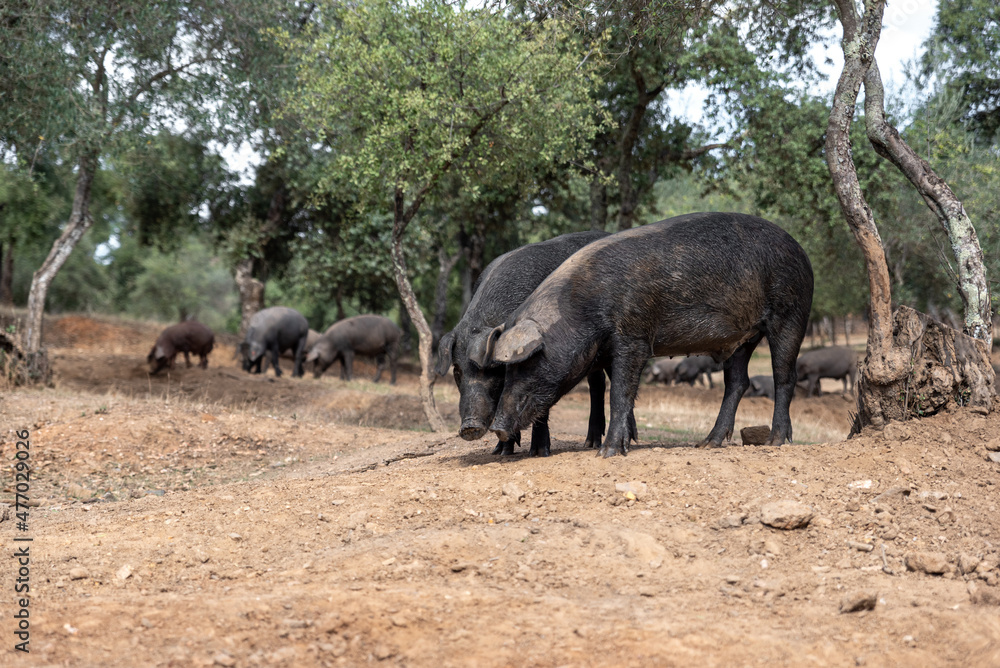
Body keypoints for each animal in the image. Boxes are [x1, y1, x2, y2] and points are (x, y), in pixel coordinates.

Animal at [438, 231, 632, 460]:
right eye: (457, 370)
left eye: (494, 368)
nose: (469, 426)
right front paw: (501, 452)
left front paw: (540, 452)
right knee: (597, 381)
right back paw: (590, 443)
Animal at [480, 214, 816, 460]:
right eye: (506, 369)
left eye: (528, 363)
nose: (497, 427)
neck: (583, 308)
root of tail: (800, 249)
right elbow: (621, 393)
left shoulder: (634, 337)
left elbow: (620, 393)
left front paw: (608, 453)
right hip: (742, 338)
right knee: (737, 382)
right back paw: (708, 443)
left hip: (792, 312)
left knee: (784, 375)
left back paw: (775, 441)